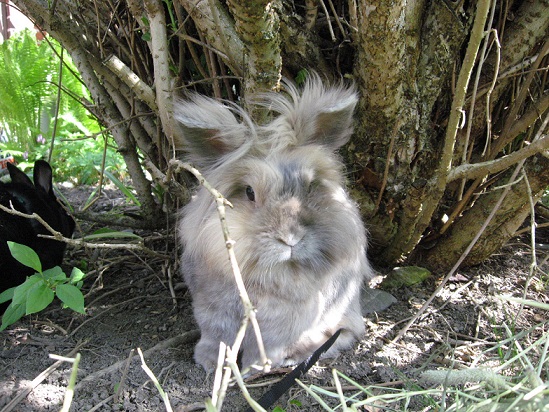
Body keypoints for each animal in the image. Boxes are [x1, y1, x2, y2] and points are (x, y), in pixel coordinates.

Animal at [176, 75, 372, 372]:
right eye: (249, 192)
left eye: (311, 186)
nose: (290, 238)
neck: (276, 272)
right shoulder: (214, 315)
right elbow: (217, 338)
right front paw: (211, 362)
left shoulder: (285, 326)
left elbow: (268, 347)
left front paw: (256, 367)